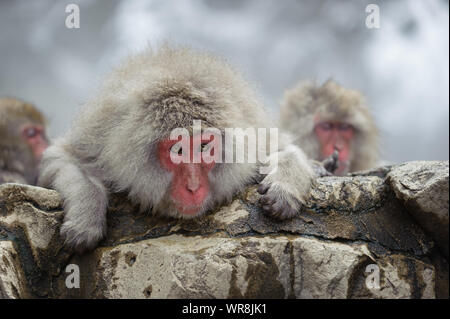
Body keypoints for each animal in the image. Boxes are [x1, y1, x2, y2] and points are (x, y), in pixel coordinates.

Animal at [40, 45, 316, 255]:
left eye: (203, 147)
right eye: (179, 151)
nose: (192, 186)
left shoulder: (252, 133)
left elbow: (286, 147)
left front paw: (284, 188)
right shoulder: (99, 138)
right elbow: (63, 158)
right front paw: (85, 219)